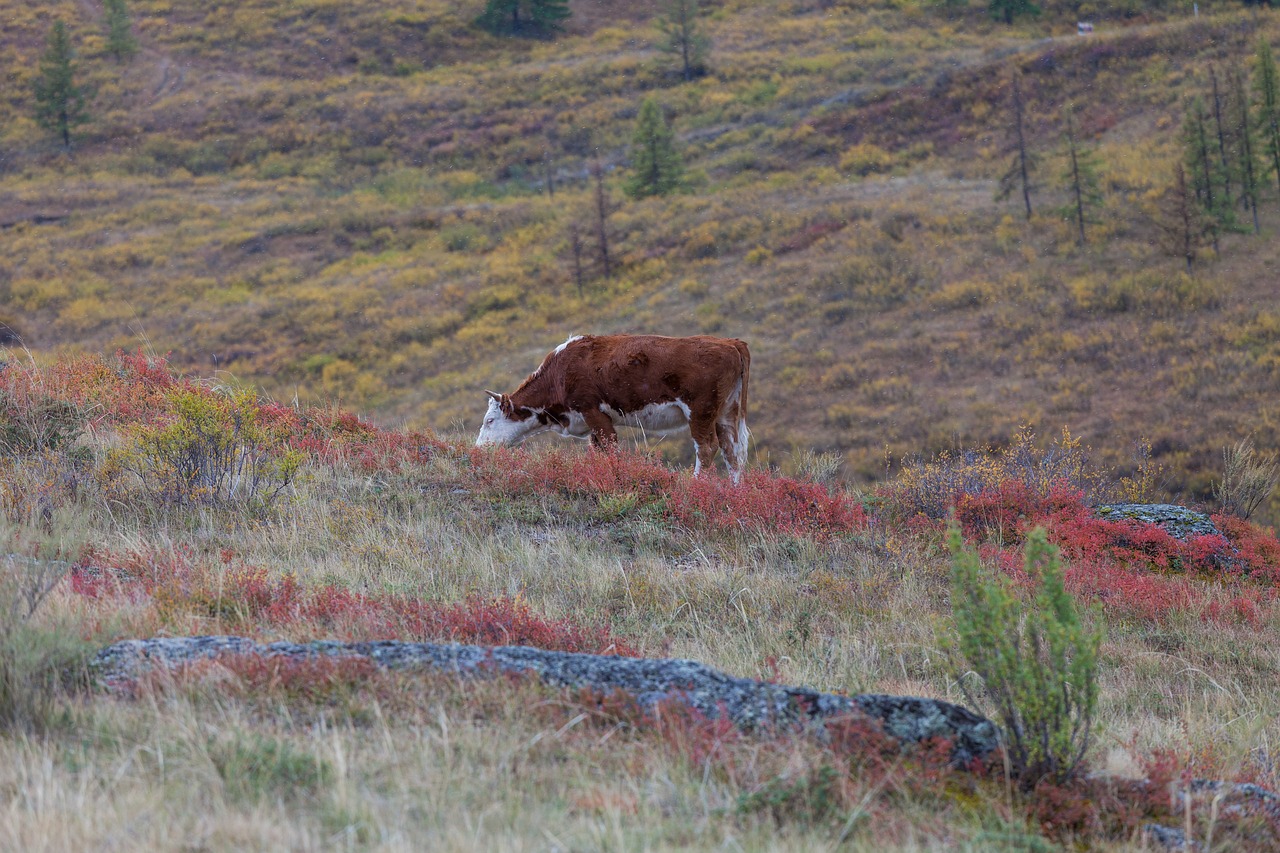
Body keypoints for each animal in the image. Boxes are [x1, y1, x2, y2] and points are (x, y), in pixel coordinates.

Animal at [478, 333, 747, 479]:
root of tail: (730, 342)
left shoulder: (592, 411)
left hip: (701, 411)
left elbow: (610, 448)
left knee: (707, 447)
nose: (478, 449)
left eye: (489, 420)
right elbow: (597, 450)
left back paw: (695, 482)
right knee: (733, 450)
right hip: (726, 412)